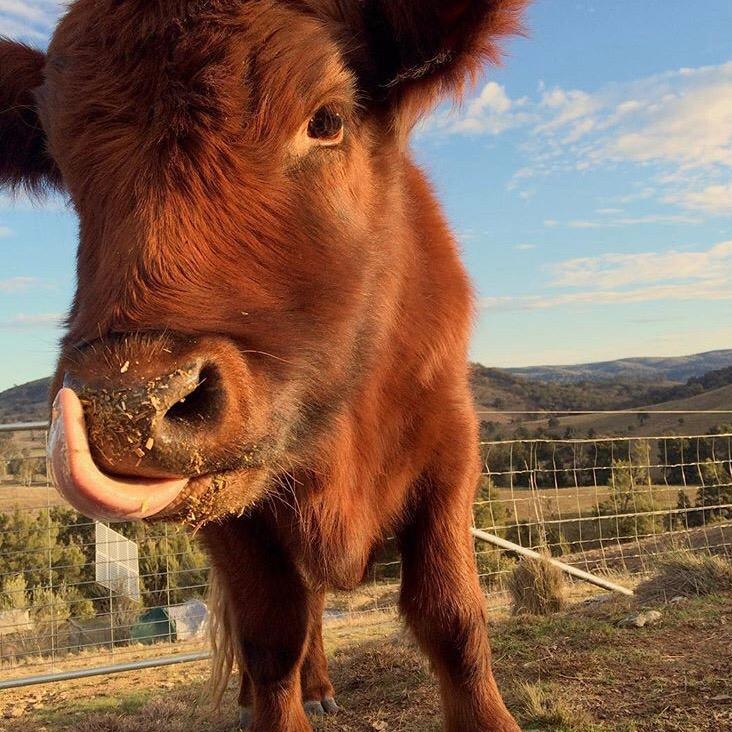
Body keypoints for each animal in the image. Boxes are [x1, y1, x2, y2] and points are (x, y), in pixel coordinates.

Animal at [0, 2, 528, 728]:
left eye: (326, 120)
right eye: (62, 160)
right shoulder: (234, 521)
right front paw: (272, 701)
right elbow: (272, 632)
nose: (127, 409)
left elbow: (451, 615)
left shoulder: (451, 447)